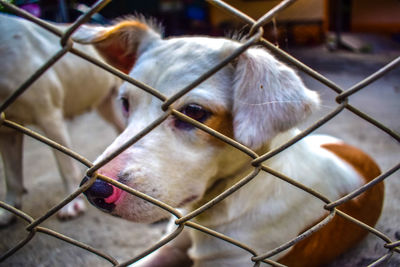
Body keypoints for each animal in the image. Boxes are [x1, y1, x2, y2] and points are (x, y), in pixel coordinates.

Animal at [0, 13, 124, 227]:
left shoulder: (49, 115)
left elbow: (65, 165)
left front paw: (71, 205)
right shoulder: (7, 130)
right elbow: (11, 176)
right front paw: (8, 211)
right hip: (105, 104)